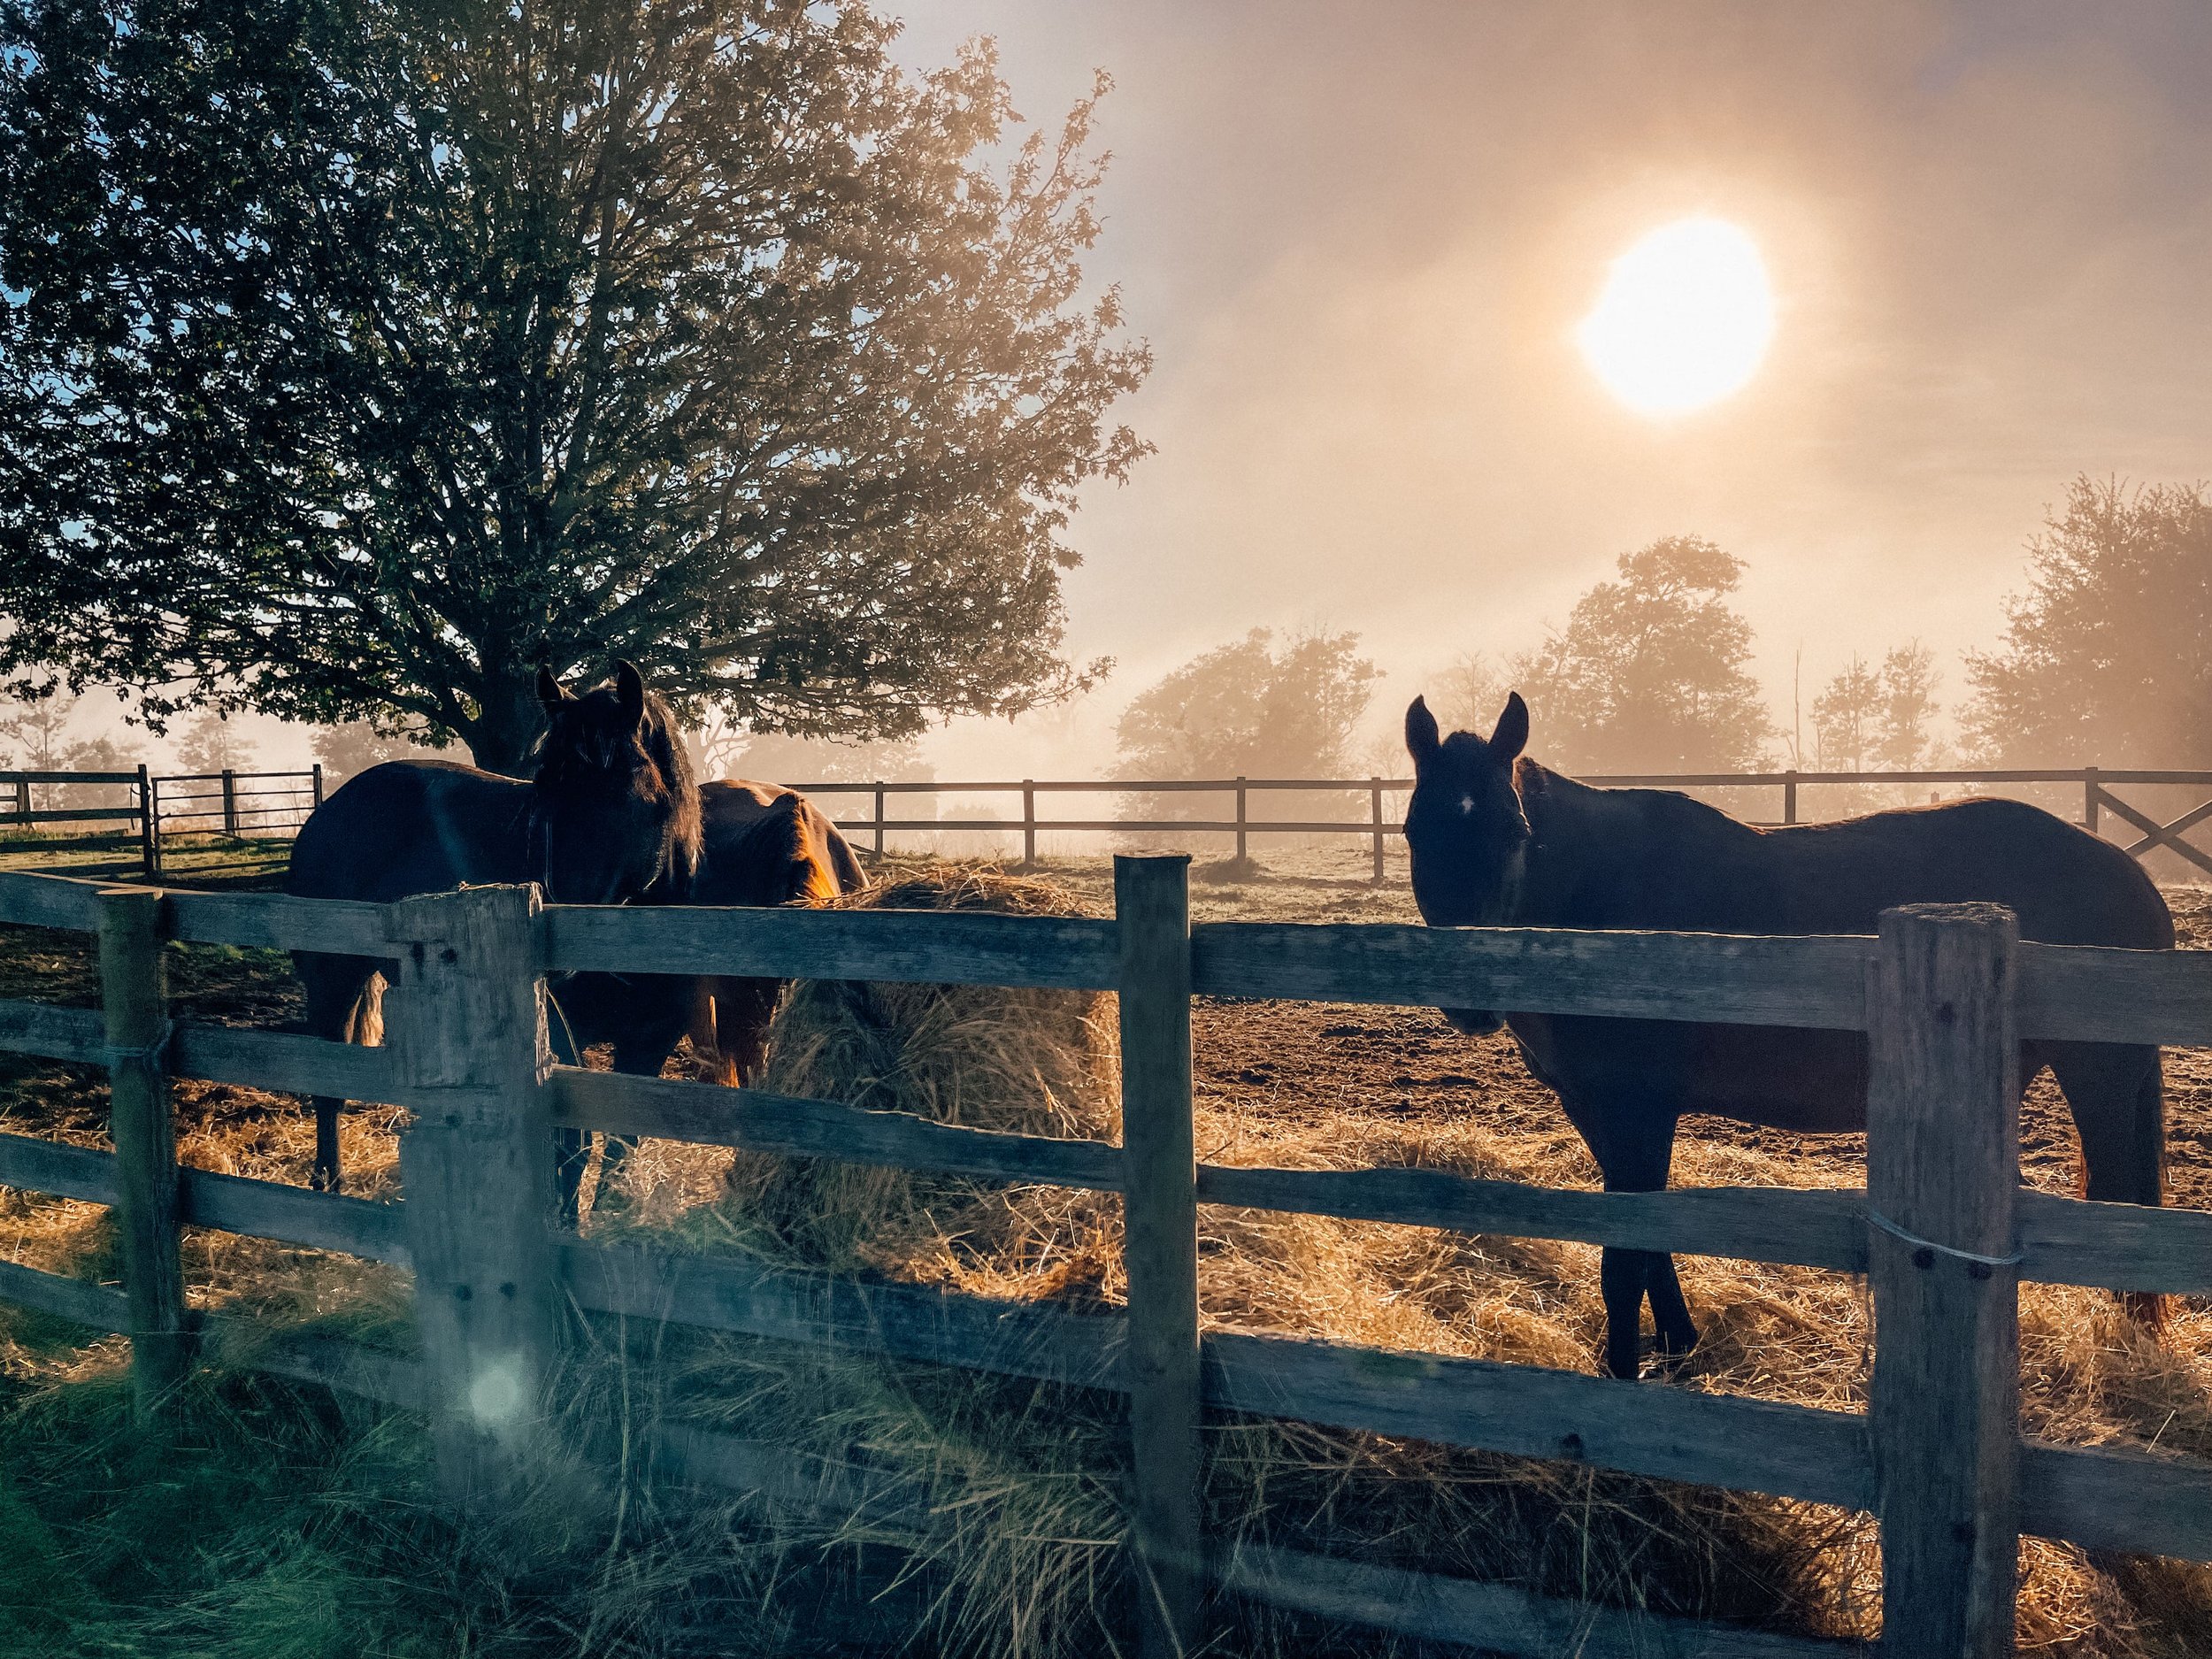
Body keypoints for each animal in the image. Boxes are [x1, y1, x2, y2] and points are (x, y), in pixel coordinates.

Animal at [285, 664, 699, 1194]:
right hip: (331, 975)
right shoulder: (558, 1028)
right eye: (543, 789)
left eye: (628, 789)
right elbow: (570, 1143)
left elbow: (620, 1149)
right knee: (328, 1086)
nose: (554, 948)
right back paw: (330, 1182)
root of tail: (330, 810)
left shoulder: (651, 1040)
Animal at [1407, 695, 2168, 1380]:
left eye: (1514, 831)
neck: (1596, 909)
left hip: (2100, 1076)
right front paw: (1680, 1344)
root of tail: (2128, 871)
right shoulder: (1593, 1107)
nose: (1468, 995)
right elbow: (1650, 1237)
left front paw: (1624, 1375)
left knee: (2127, 1203)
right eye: (1416, 831)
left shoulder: (1638, 1108)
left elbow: (1625, 1258)